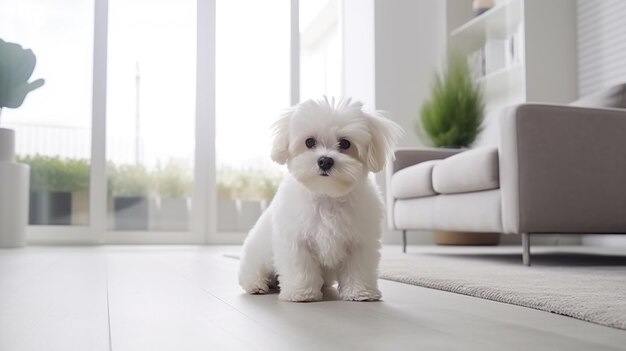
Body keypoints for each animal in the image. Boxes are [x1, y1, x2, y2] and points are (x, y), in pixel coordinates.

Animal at [236, 96, 402, 302]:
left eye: (345, 143)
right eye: (309, 142)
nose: (325, 160)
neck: (327, 195)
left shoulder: (360, 241)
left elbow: (358, 267)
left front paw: (360, 292)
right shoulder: (296, 240)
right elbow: (300, 266)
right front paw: (301, 293)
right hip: (256, 255)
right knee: (253, 271)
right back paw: (257, 285)